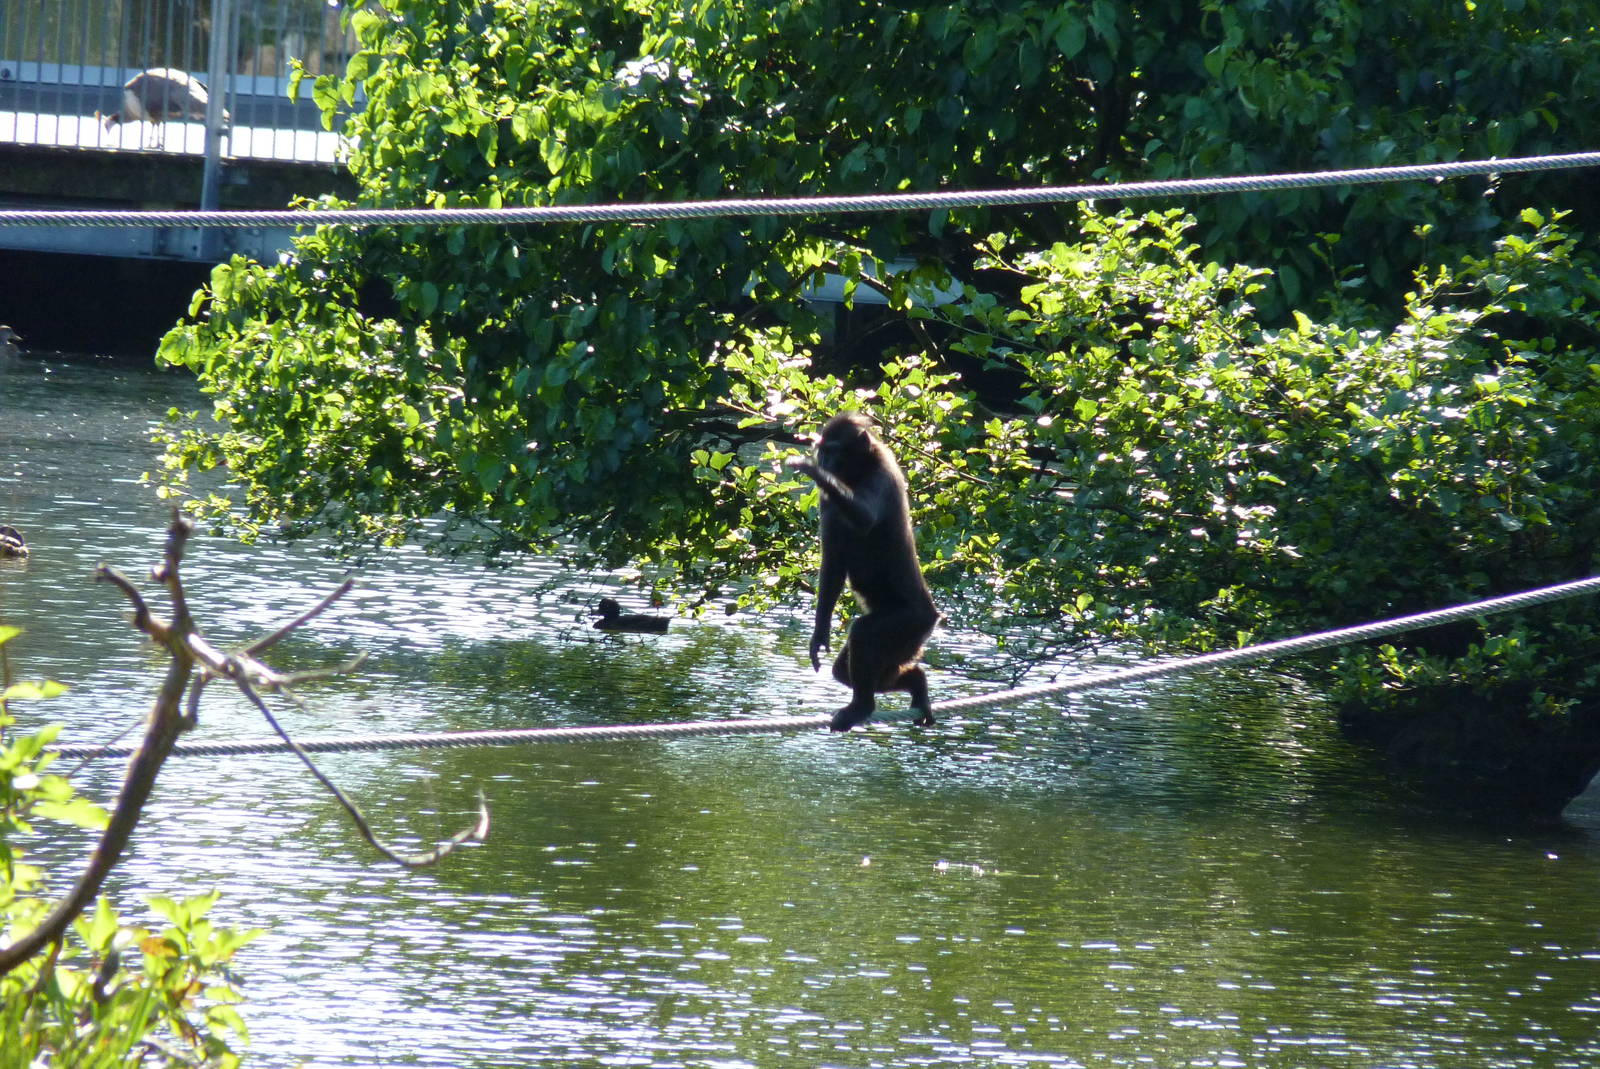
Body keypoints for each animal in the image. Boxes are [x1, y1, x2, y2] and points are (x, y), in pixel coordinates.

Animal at [787, 412, 938, 731]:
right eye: (824, 451)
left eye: (833, 451)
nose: (825, 462)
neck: (860, 470)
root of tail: (932, 616)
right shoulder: (828, 501)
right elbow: (833, 563)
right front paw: (820, 634)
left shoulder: (880, 476)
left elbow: (865, 519)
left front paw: (812, 471)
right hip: (907, 641)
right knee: (848, 670)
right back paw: (916, 682)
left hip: (911, 623)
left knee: (864, 634)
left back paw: (861, 707)